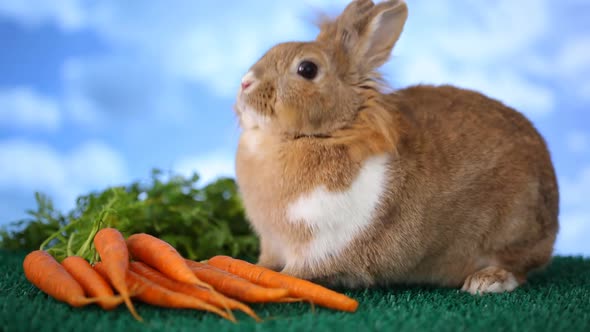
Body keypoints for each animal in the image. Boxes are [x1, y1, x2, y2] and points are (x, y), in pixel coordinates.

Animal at [232, 0, 560, 296]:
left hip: (513, 230)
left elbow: (293, 274)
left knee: (518, 268)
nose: (245, 82)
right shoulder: (272, 243)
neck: (330, 133)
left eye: (307, 69)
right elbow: (265, 263)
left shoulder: (318, 244)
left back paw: (485, 282)